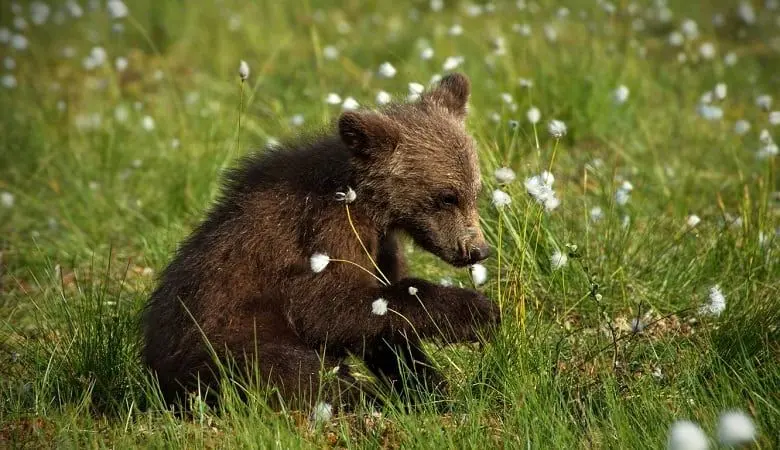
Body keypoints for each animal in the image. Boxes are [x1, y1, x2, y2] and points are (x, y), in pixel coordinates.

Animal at [142, 73, 500, 412]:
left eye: (475, 191)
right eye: (447, 196)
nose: (478, 250)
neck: (367, 204)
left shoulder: (379, 245)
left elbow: (384, 328)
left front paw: (428, 385)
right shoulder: (322, 232)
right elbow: (328, 308)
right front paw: (476, 312)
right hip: (227, 341)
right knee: (295, 371)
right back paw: (365, 398)